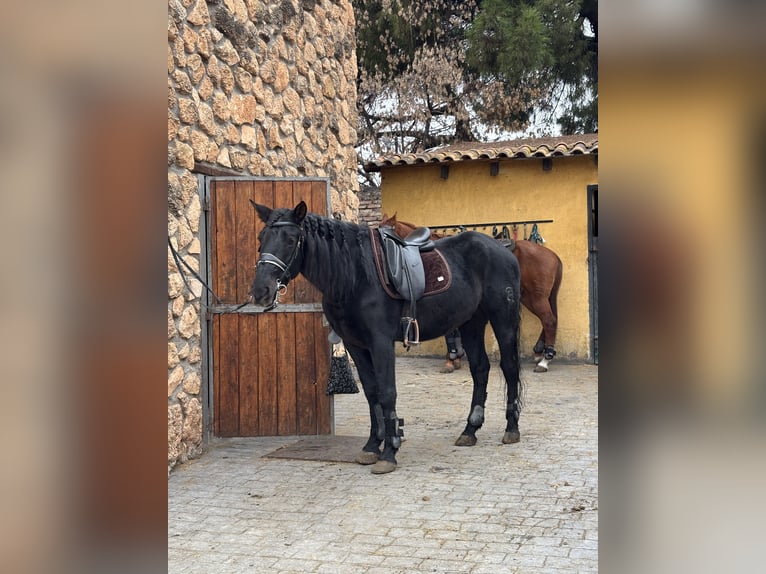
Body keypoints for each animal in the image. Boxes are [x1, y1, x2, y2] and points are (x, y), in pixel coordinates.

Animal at [250, 201, 523, 474]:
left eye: (291, 239)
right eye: (261, 238)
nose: (260, 291)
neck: (355, 275)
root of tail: (503, 250)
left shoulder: (381, 343)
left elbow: (387, 392)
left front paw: (390, 452)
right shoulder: (356, 345)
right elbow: (372, 393)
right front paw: (372, 446)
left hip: (502, 319)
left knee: (509, 367)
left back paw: (511, 428)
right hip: (471, 323)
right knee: (480, 369)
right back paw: (470, 430)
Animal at [381, 213, 563, 372]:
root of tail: (552, 255)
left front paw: (452, 358)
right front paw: (455, 358)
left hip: (536, 297)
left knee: (549, 320)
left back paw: (545, 360)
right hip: (529, 297)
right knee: (549, 320)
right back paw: (540, 352)